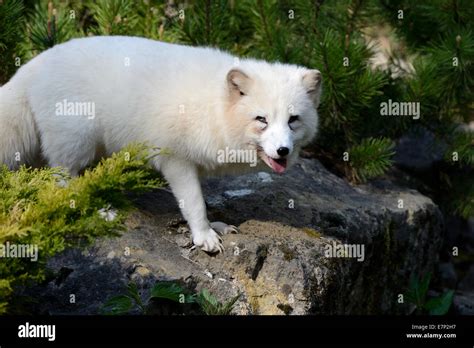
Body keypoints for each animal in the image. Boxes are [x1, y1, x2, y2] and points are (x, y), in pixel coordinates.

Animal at [0, 36, 322, 253]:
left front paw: (215, 225)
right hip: (78, 139)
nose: (283, 151)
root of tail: (31, 66)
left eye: (293, 120)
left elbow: (202, 200)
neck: (213, 105)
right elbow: (194, 202)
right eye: (261, 119)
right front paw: (203, 235)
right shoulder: (175, 159)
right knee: (61, 179)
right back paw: (98, 209)